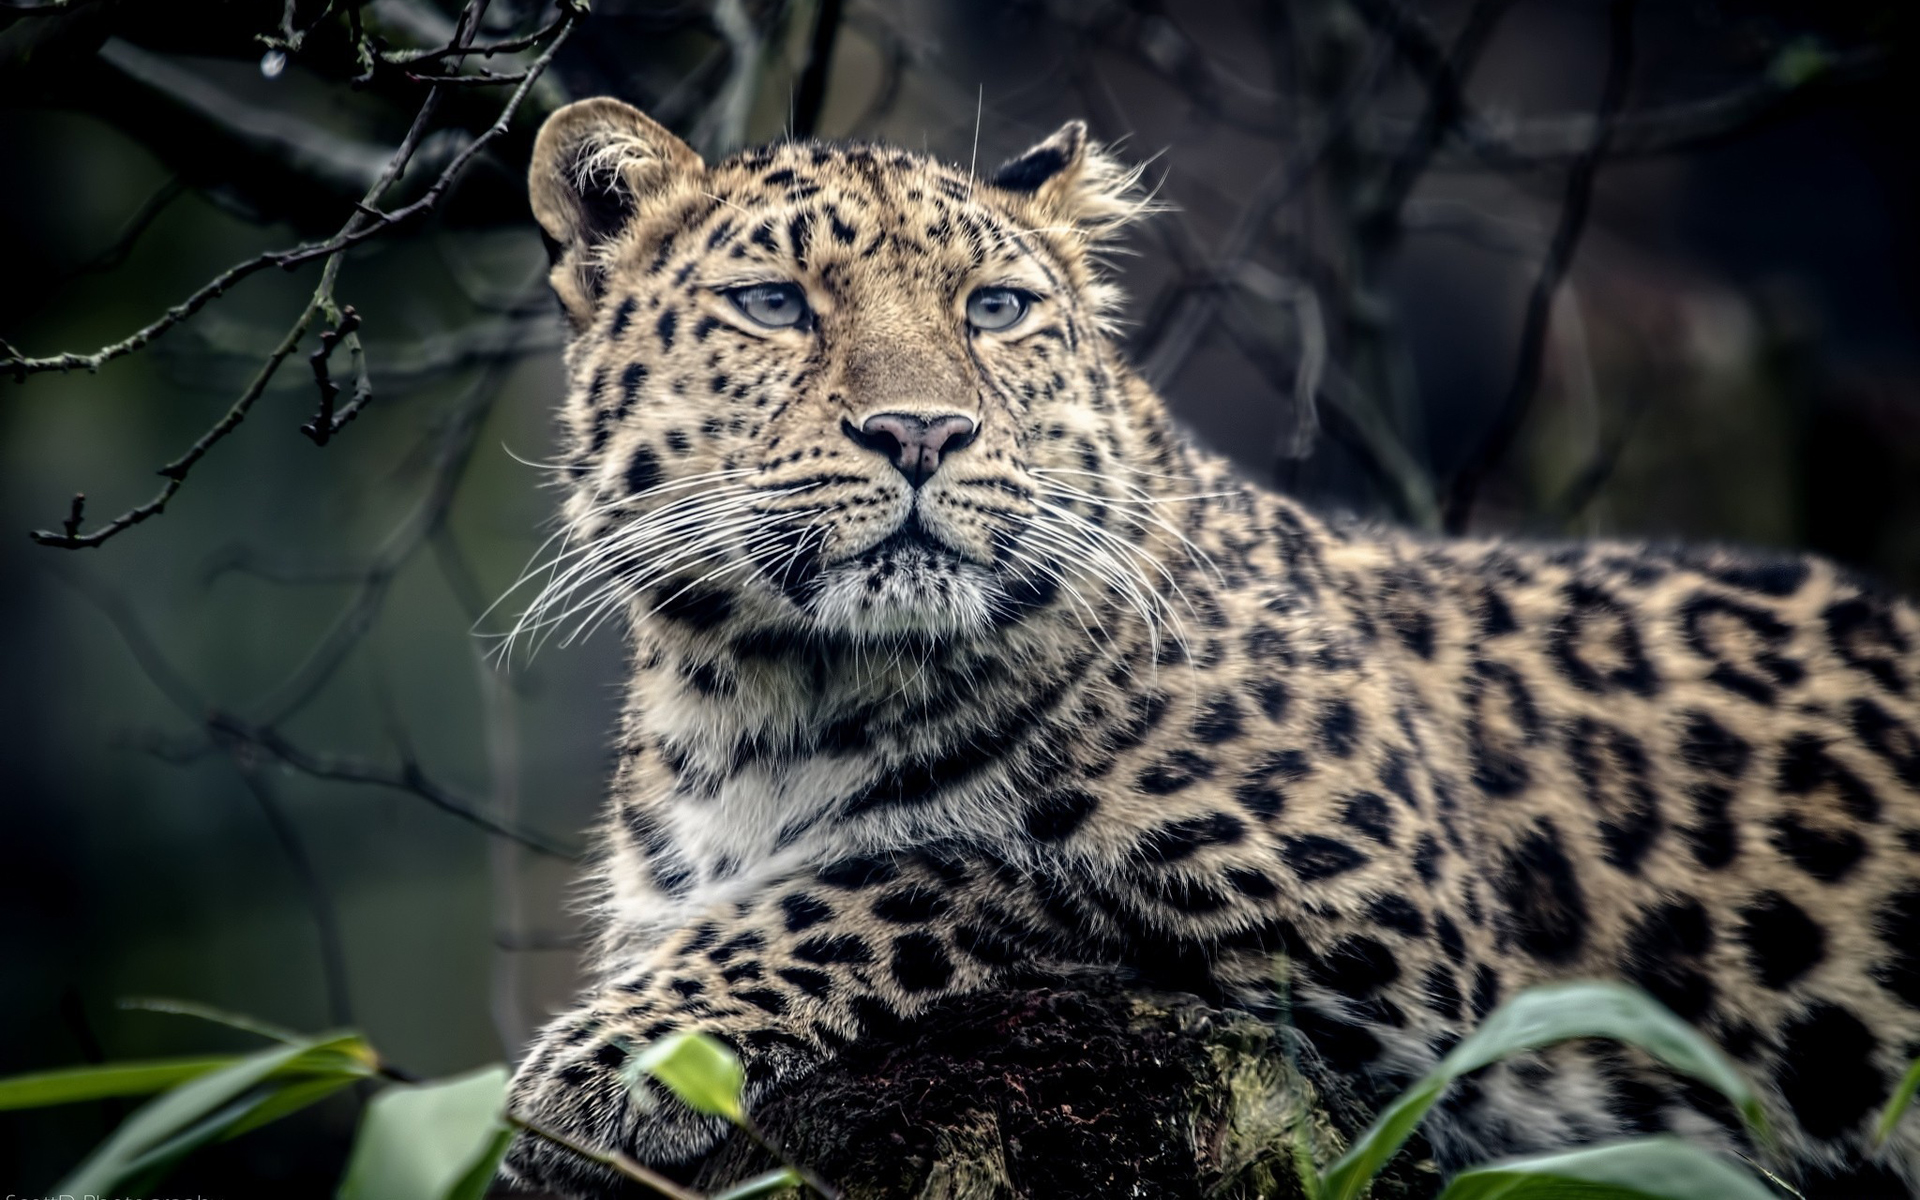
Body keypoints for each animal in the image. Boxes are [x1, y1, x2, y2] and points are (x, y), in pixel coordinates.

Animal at [499, 98, 1920, 1190]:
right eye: (772, 304)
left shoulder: (1383, 928)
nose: (921, 432)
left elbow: (921, 871)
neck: (774, 696)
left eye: (996, 308)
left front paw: (599, 1065)